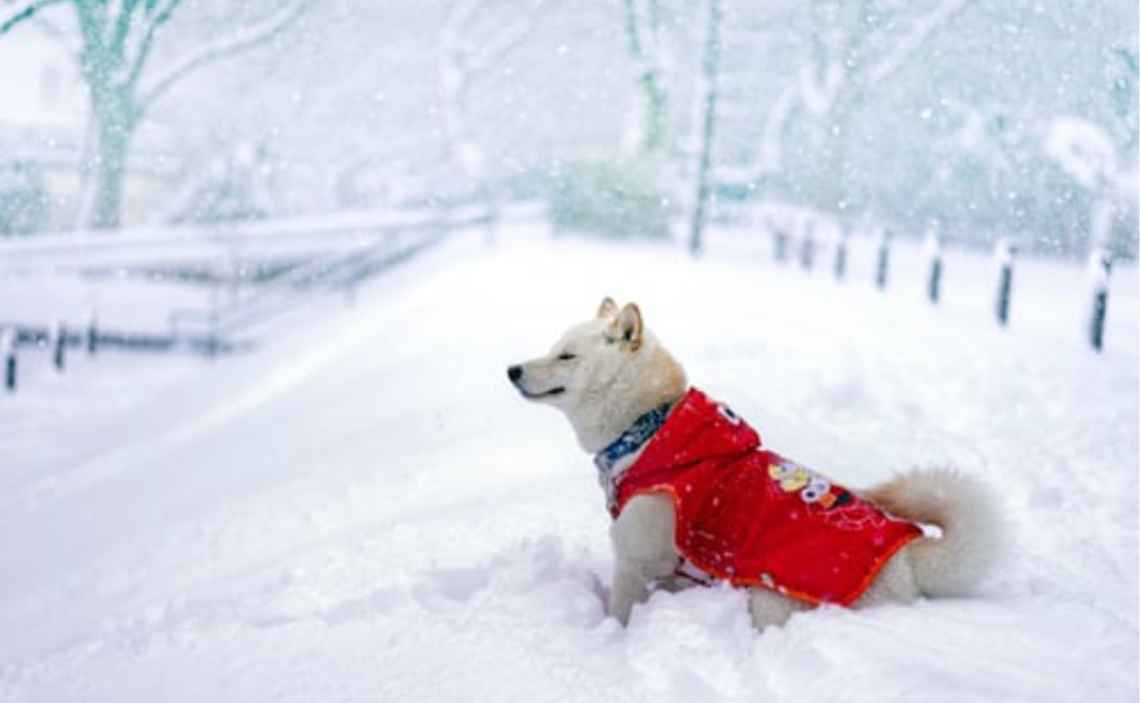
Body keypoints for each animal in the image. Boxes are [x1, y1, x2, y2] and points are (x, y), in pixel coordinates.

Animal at [510, 298, 1007, 628]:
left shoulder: (637, 559)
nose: (512, 369)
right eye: (552, 347)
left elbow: (620, 610)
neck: (648, 428)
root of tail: (907, 564)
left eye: (566, 355)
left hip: (769, 598)